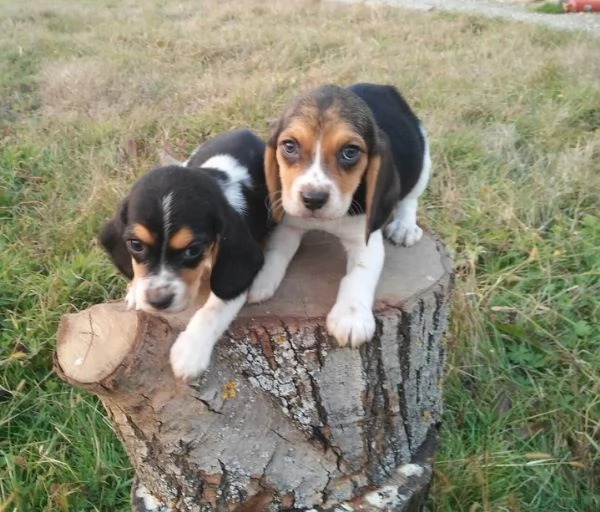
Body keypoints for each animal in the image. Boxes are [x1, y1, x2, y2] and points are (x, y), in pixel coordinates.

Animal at [99, 128, 268, 380]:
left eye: (193, 250)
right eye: (136, 245)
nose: (158, 301)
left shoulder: (237, 276)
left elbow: (214, 309)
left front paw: (190, 351)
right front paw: (134, 291)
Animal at [248, 83, 432, 348]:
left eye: (350, 152)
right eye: (290, 146)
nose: (313, 199)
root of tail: (383, 86)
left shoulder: (366, 240)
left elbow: (358, 275)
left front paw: (351, 316)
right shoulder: (288, 226)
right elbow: (276, 253)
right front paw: (259, 278)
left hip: (422, 156)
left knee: (410, 197)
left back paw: (404, 227)